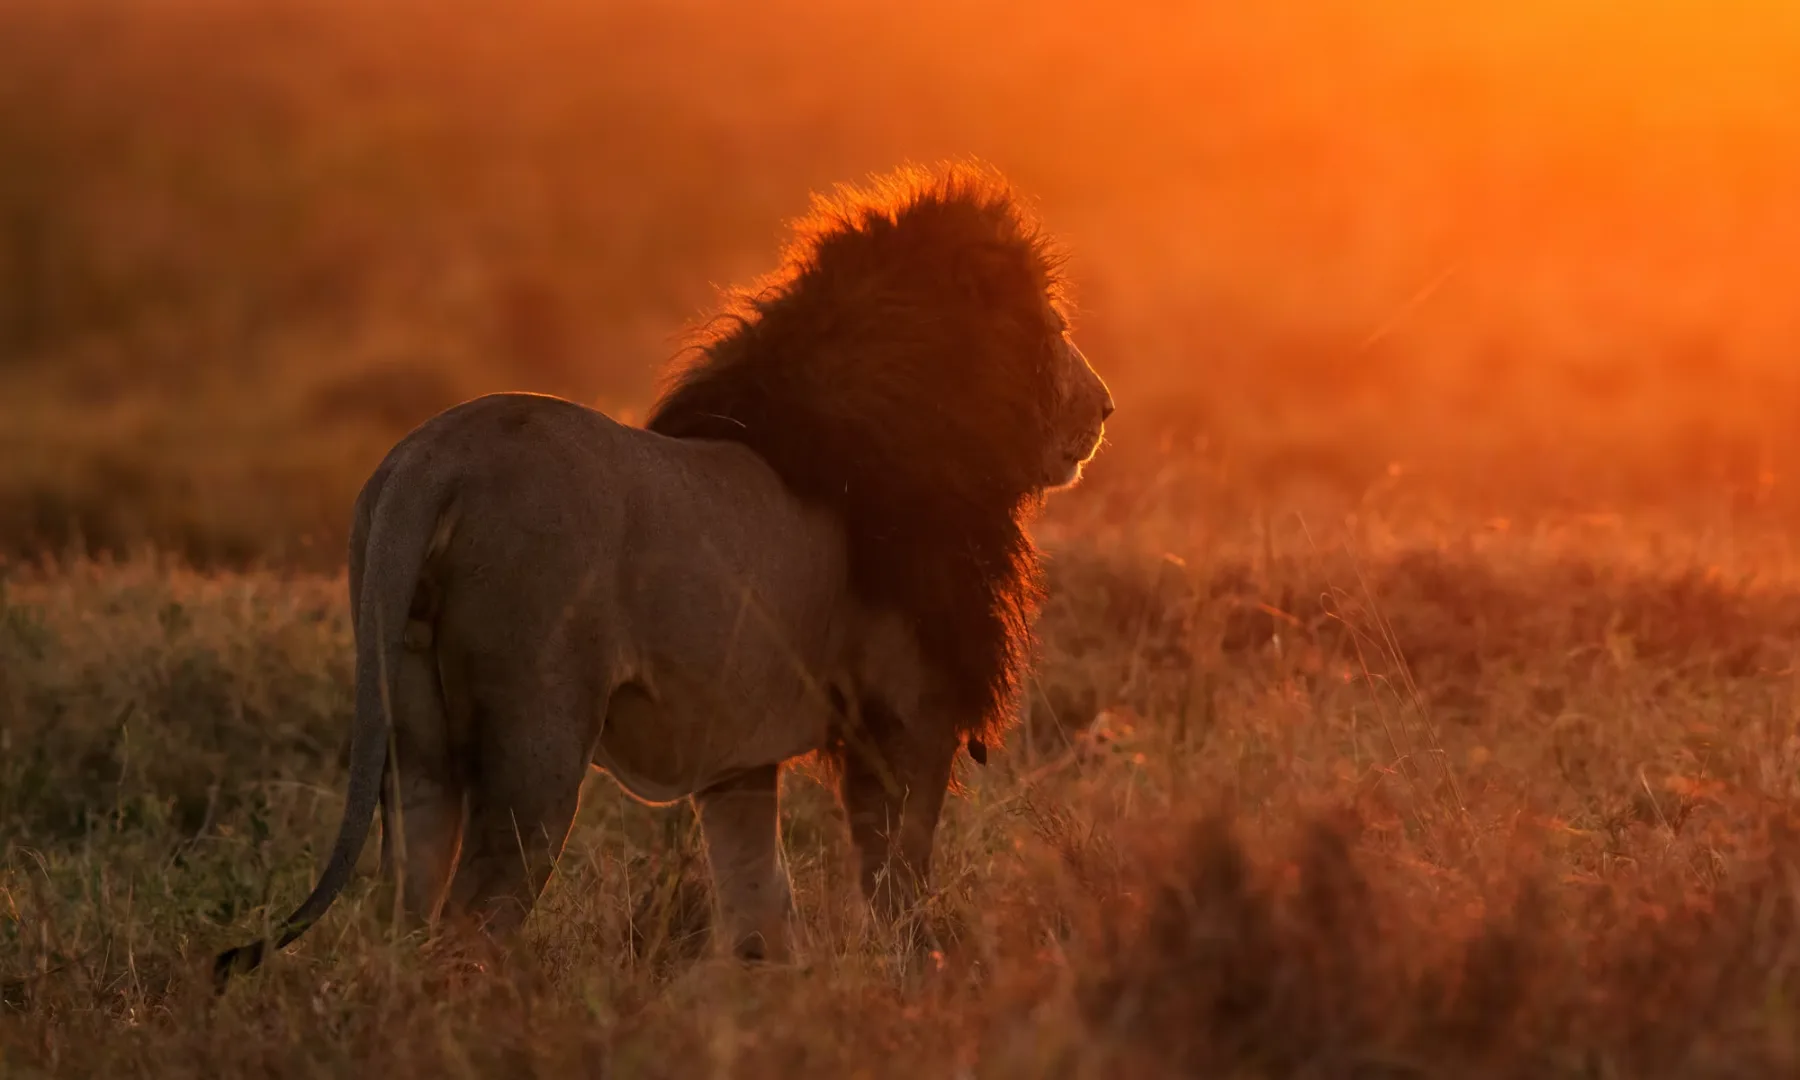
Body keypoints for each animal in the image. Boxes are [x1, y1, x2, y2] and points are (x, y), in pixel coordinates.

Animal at [213, 162, 1114, 985]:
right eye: (1056, 323)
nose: (1105, 407)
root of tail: (435, 458)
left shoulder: (739, 765)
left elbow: (758, 911)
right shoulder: (904, 721)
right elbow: (897, 886)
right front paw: (915, 982)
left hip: (414, 742)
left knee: (404, 916)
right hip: (539, 737)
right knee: (471, 925)